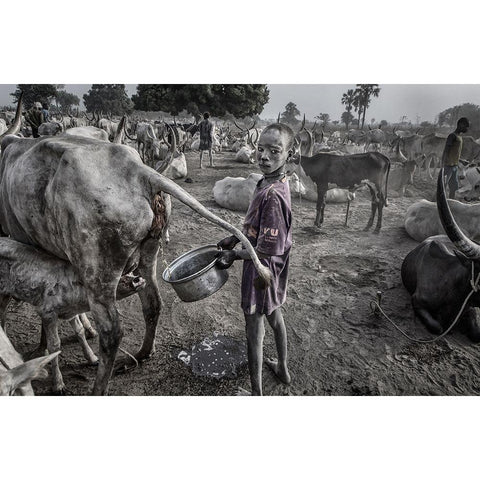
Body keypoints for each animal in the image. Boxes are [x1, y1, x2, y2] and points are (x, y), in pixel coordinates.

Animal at [0, 237, 146, 394]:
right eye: (115, 278)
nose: (138, 278)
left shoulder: (71, 312)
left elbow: (80, 331)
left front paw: (94, 359)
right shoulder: (47, 312)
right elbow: (55, 345)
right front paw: (59, 386)